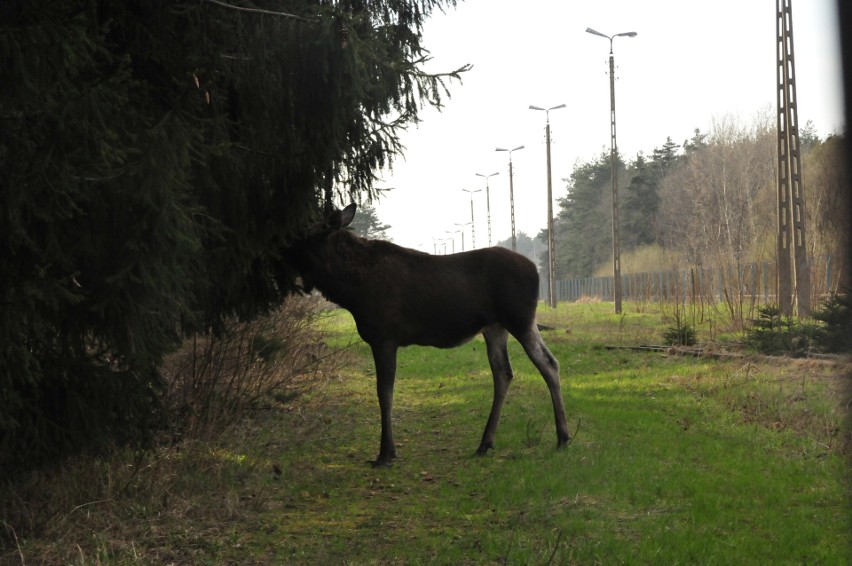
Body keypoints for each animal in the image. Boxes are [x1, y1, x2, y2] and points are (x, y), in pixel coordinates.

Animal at [282, 204, 568, 466]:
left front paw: (385, 453)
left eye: (308, 234)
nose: (283, 250)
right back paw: (485, 443)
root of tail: (536, 270)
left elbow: (384, 392)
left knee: (548, 363)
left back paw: (563, 437)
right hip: (495, 327)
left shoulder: (384, 337)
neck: (349, 291)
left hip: (520, 319)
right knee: (504, 373)